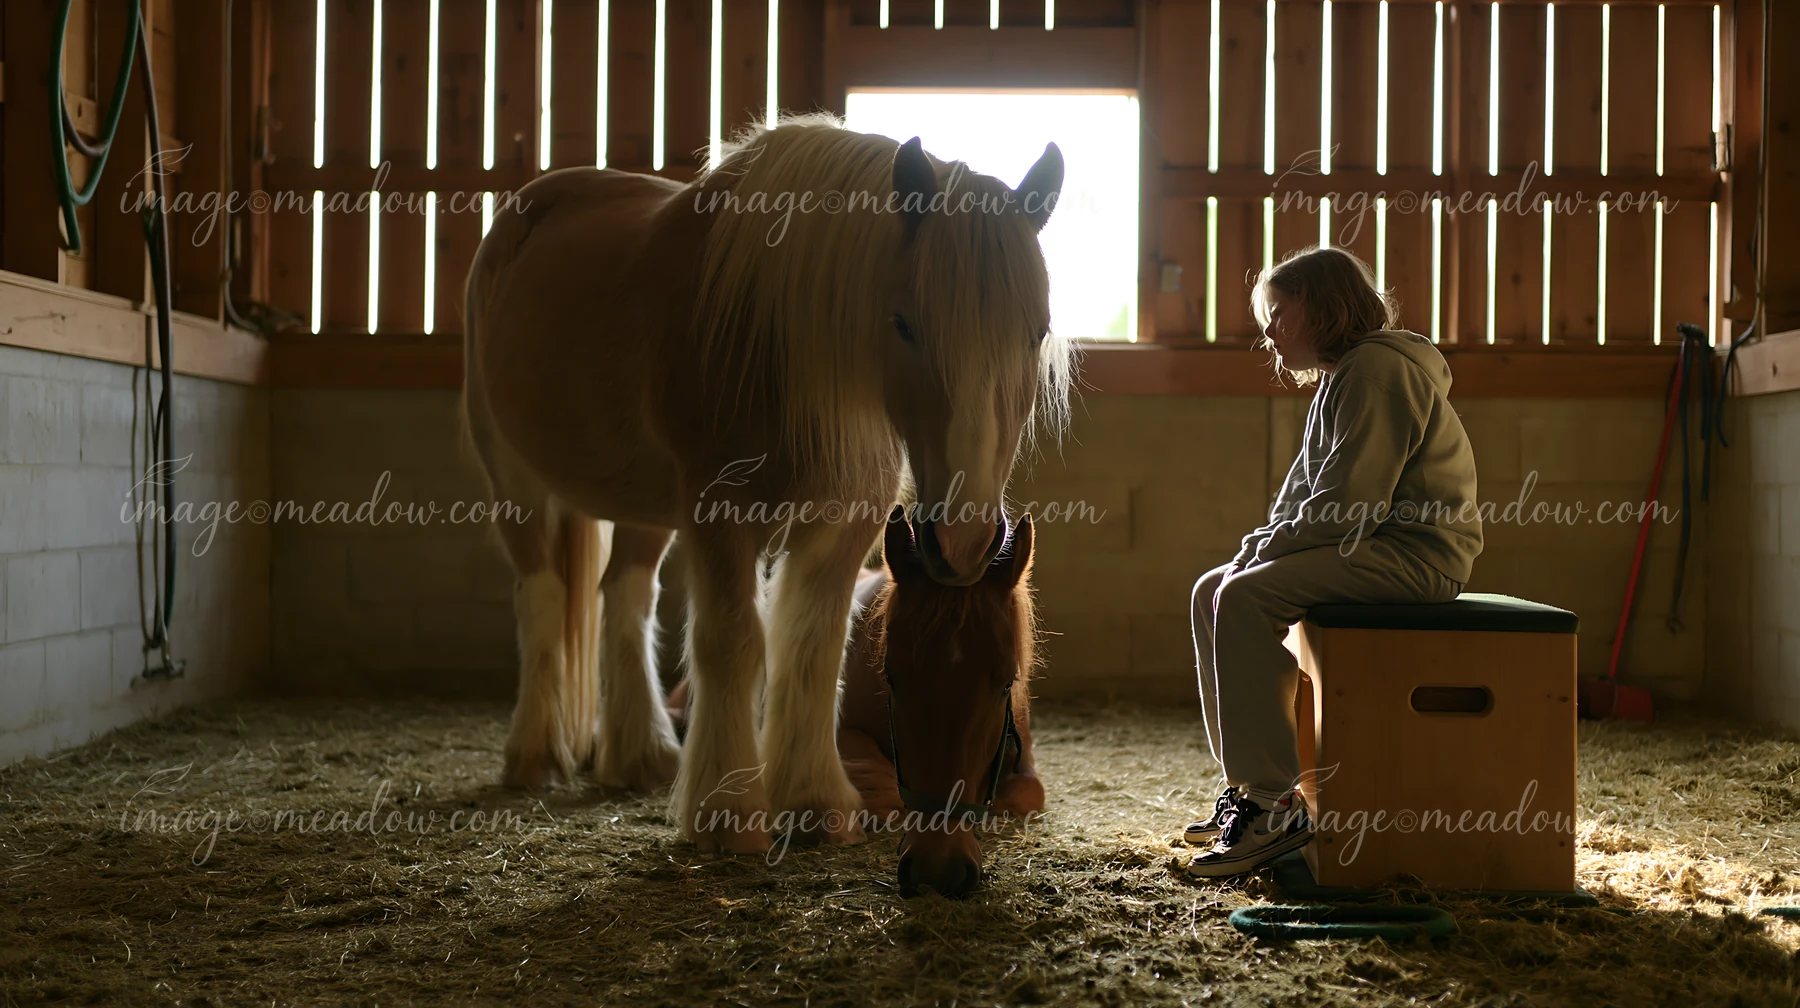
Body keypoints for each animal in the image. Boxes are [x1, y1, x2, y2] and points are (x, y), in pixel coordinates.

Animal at [461, 116, 1071, 854]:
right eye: (903, 323)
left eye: (1037, 331)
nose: (962, 545)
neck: (776, 337)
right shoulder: (718, 514)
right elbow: (734, 641)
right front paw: (728, 813)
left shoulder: (843, 524)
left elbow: (812, 646)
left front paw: (813, 801)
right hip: (514, 477)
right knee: (543, 594)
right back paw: (535, 756)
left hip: (644, 508)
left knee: (625, 596)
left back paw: (642, 758)